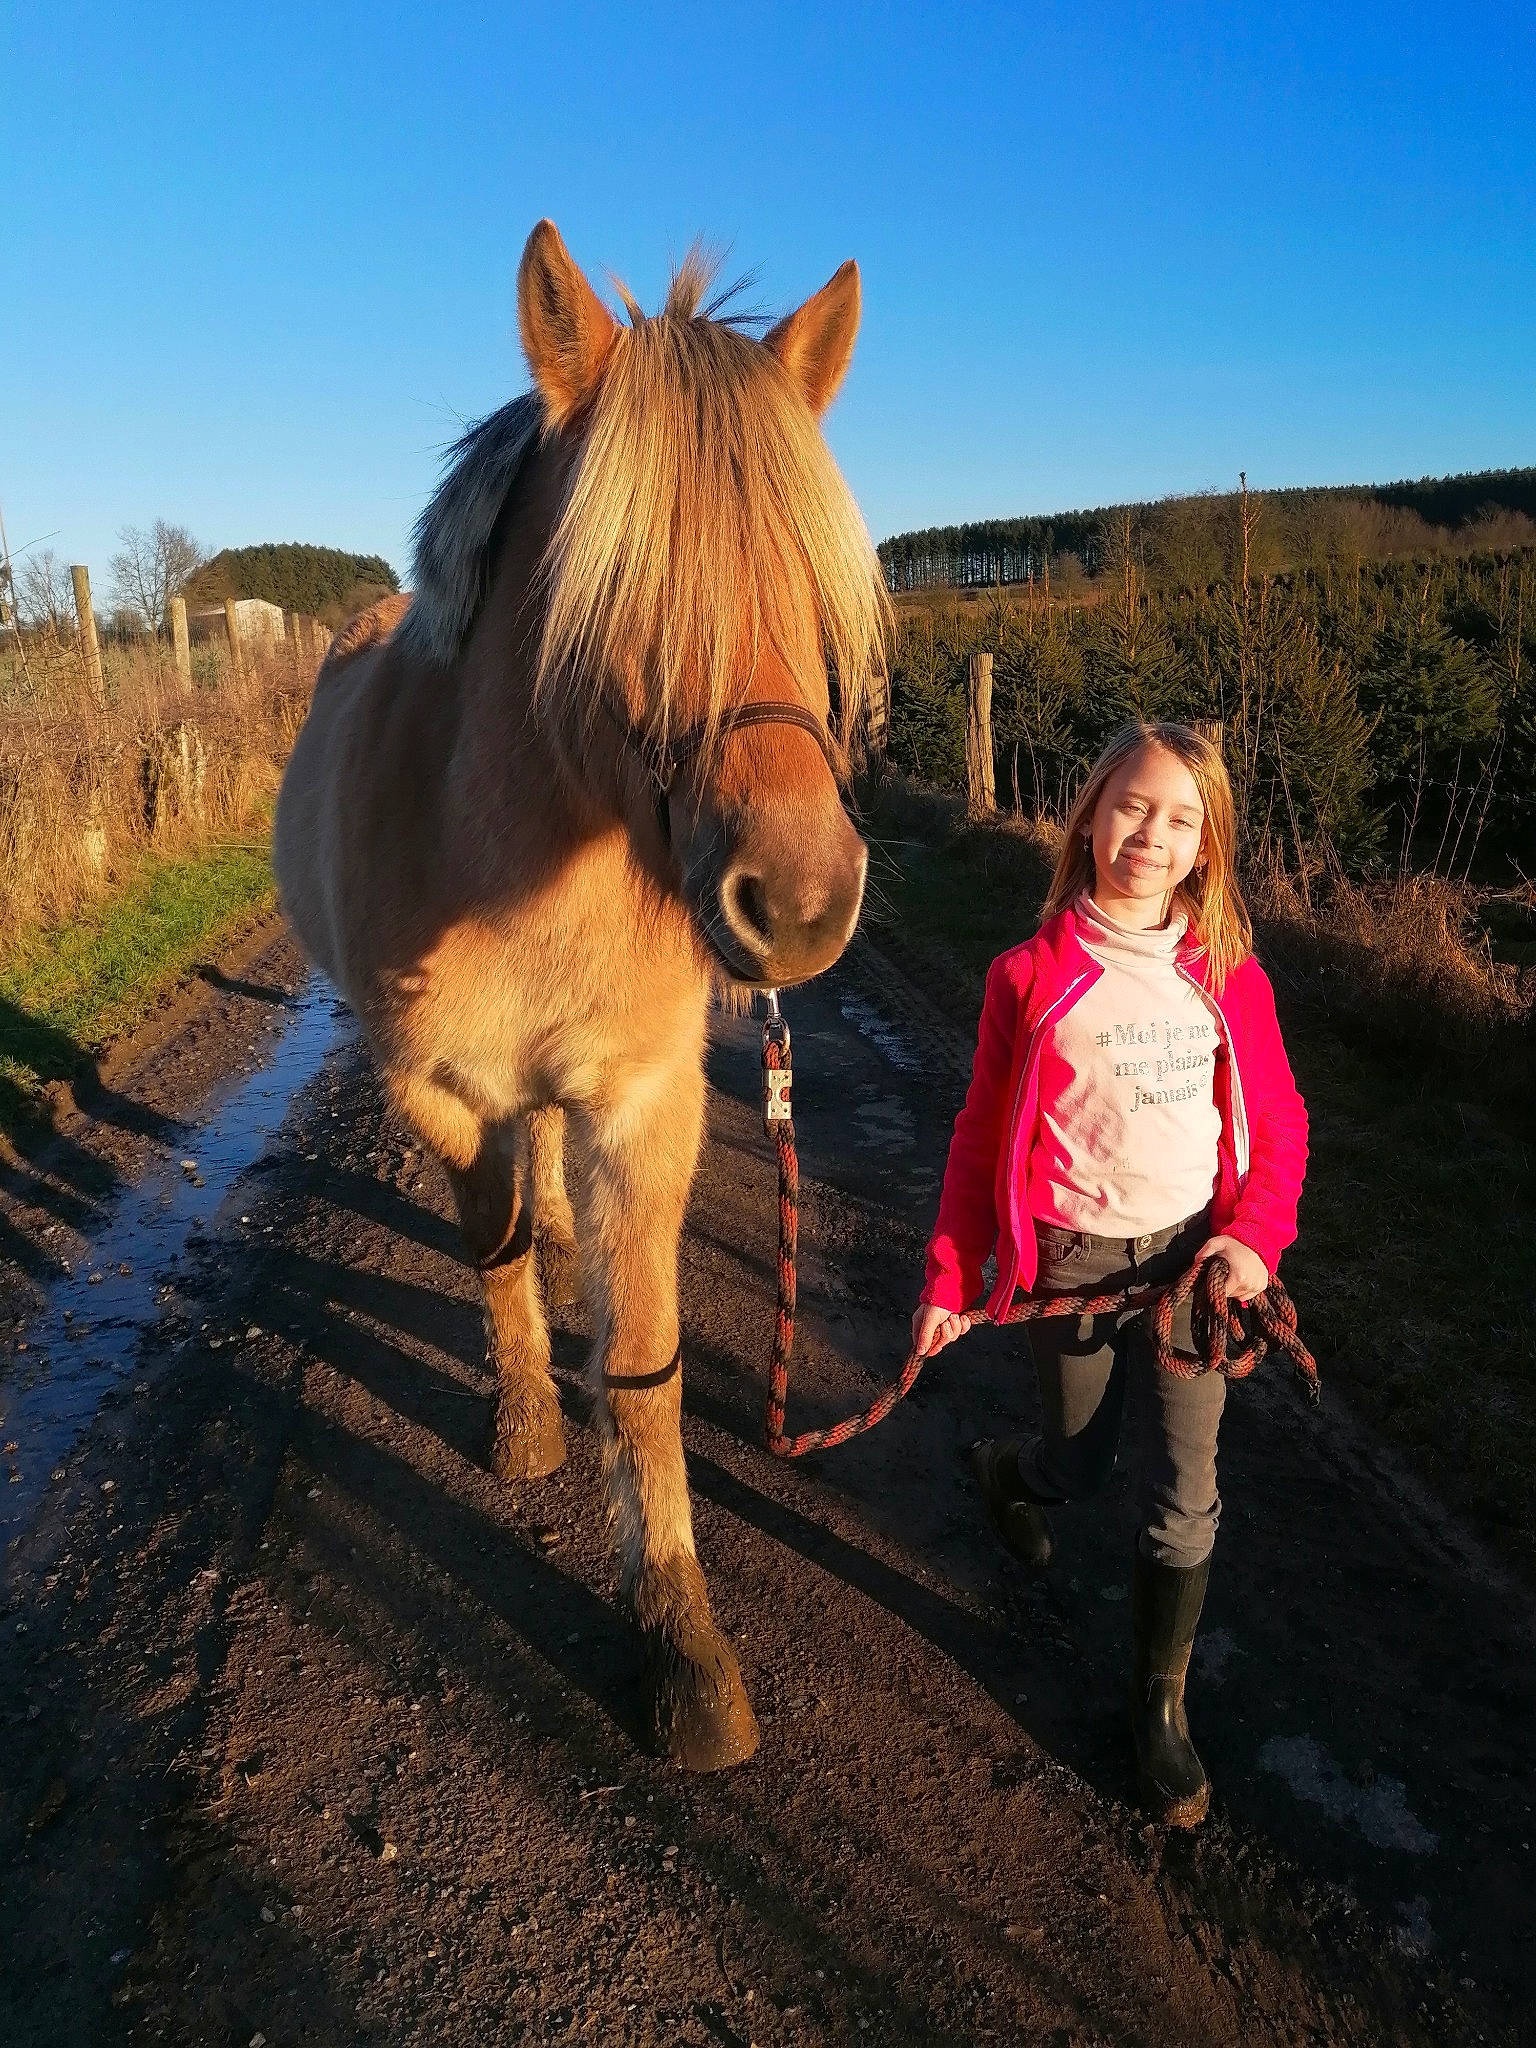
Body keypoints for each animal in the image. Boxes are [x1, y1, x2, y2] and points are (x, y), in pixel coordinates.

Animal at [273, 220, 889, 1770]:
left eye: (818, 594)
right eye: (623, 594)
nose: (802, 907)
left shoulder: (643, 1103)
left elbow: (649, 1361)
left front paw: (678, 1634)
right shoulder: (427, 1087)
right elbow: (488, 1247)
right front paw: (527, 1425)